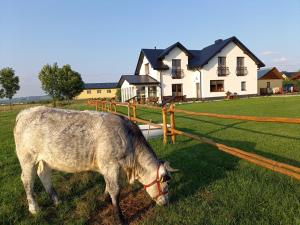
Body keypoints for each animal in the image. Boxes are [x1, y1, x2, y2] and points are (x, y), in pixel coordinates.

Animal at [14, 106, 177, 224]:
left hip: (45, 159)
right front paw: (120, 218)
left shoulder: (107, 166)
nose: (166, 203)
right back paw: (34, 208)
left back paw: (57, 200)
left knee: (44, 175)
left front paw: (105, 197)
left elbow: (108, 186)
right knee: (27, 180)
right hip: (27, 158)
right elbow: (115, 190)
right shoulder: (111, 164)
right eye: (166, 184)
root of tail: (25, 112)